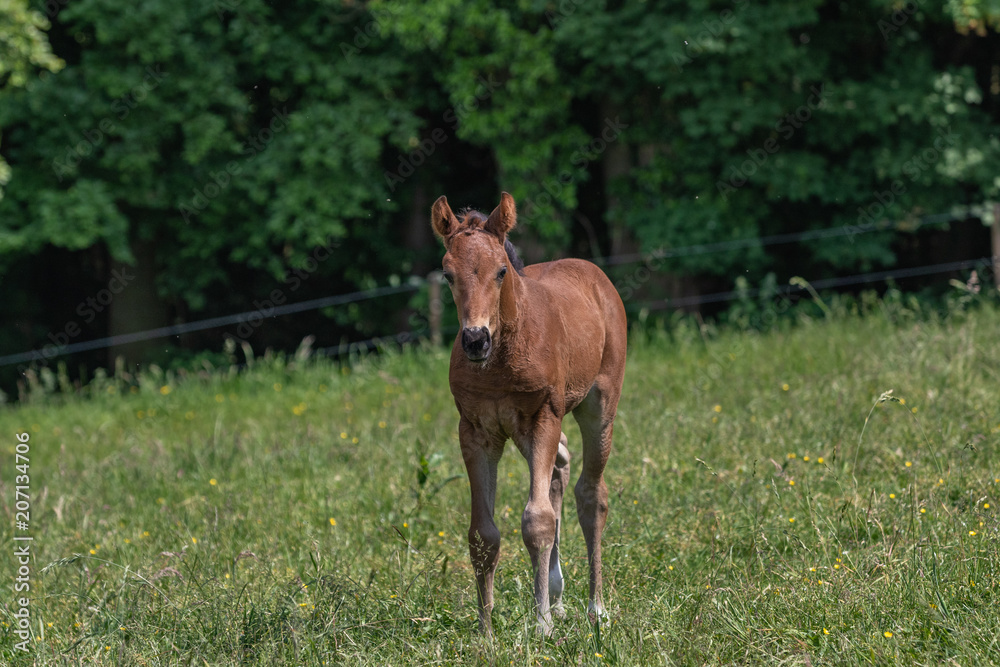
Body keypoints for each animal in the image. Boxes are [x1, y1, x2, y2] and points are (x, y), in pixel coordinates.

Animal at [430, 190, 624, 636]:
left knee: (591, 494)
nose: (475, 340)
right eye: (448, 275)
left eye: (502, 271)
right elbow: (483, 534)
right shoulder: (477, 431)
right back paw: (557, 596)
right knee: (560, 467)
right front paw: (485, 632)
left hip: (598, 406)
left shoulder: (543, 418)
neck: (501, 359)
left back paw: (596, 608)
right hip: (523, 433)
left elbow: (537, 521)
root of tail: (594, 274)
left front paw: (541, 627)